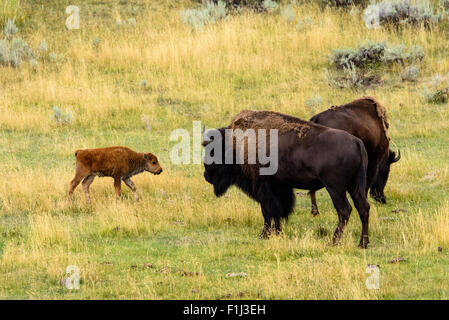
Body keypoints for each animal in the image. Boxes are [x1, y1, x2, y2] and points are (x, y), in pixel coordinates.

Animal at [203, 111, 372, 249]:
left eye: (213, 152)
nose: (206, 176)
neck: (235, 144)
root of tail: (357, 143)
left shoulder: (263, 187)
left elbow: (267, 211)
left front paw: (264, 235)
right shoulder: (279, 187)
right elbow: (277, 211)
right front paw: (277, 232)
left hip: (335, 188)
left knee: (344, 210)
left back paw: (334, 242)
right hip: (354, 186)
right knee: (363, 208)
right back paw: (362, 243)